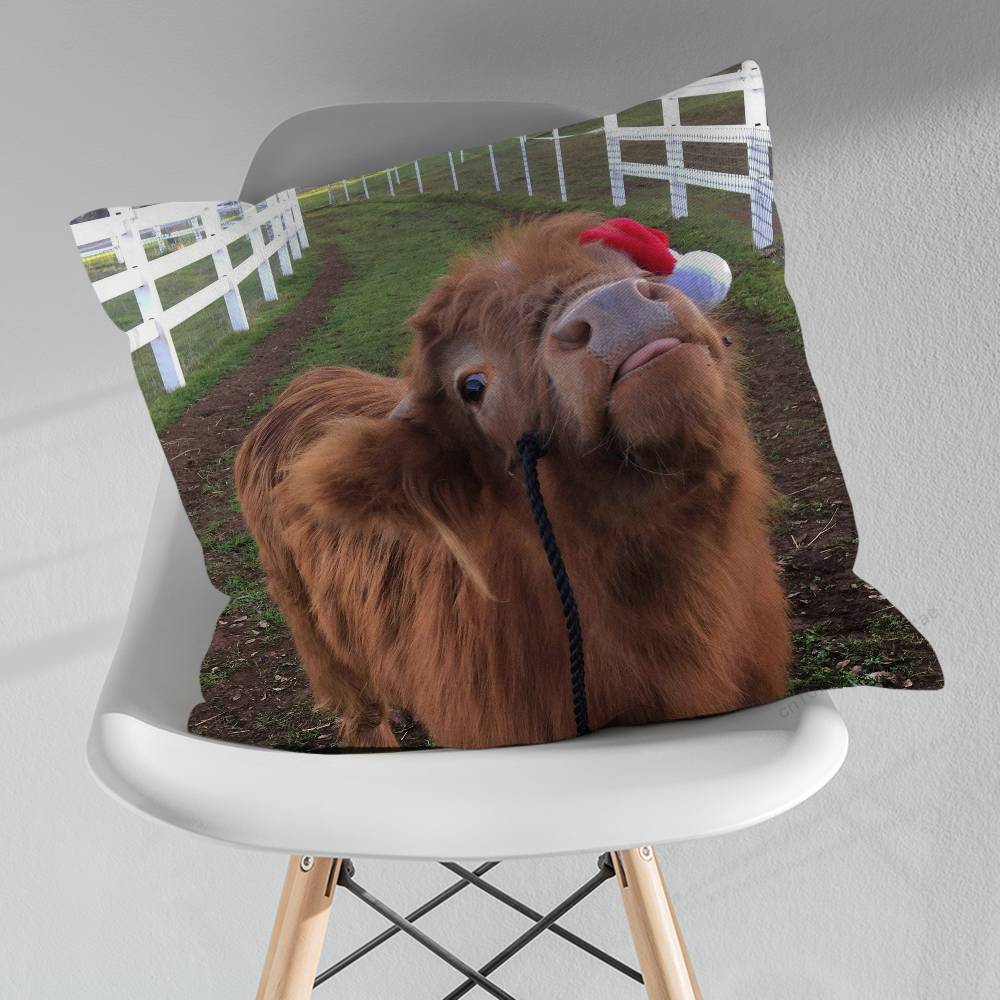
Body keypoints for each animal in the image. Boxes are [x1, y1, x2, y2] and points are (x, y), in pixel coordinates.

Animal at [235, 212, 791, 749]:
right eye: (472, 386)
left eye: (634, 269)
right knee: (361, 715)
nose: (614, 306)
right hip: (321, 642)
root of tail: (302, 386)